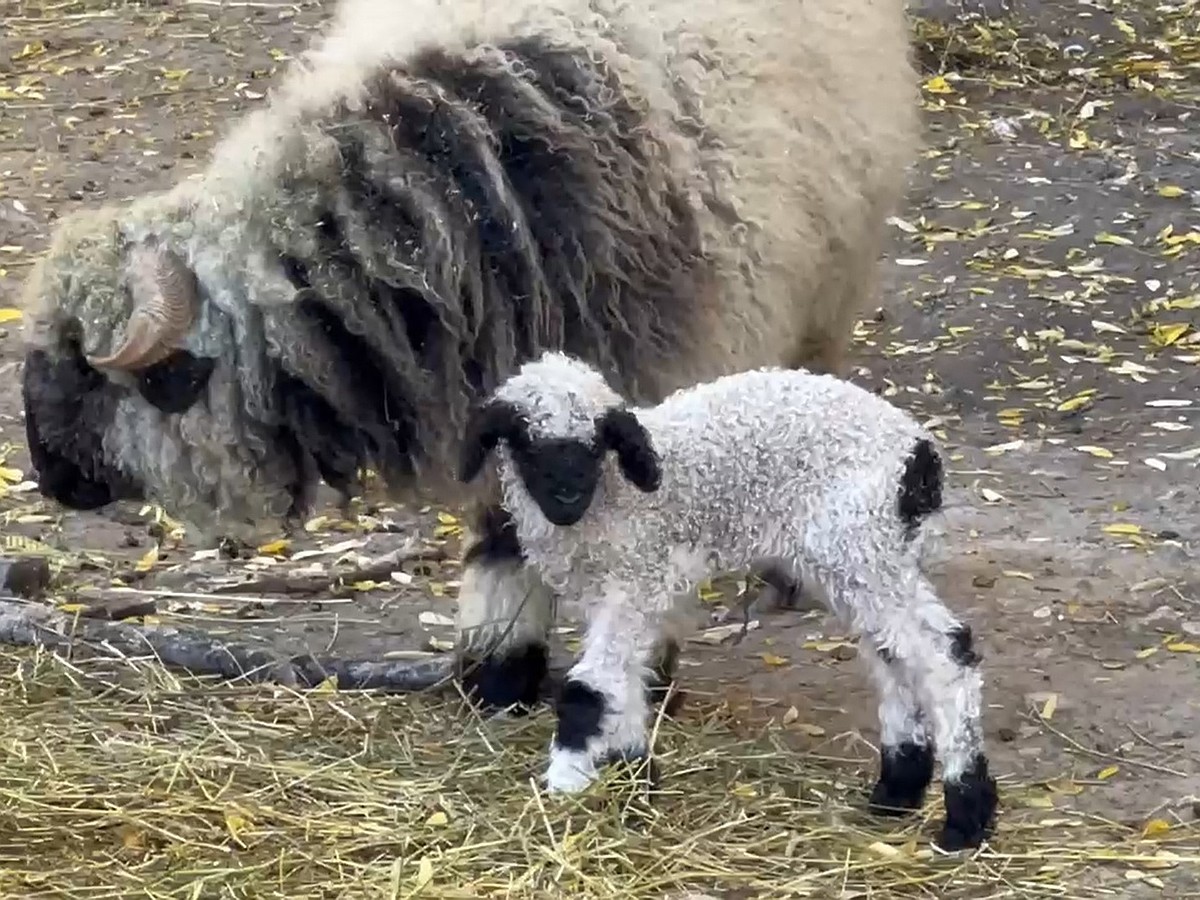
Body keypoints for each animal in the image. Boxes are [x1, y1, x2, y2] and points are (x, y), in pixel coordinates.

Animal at [458, 350, 1003, 854]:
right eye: (523, 441)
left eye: (598, 443)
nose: (567, 497)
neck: (611, 501)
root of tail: (920, 455)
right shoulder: (630, 593)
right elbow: (626, 683)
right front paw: (634, 780)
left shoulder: (632, 580)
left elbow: (589, 688)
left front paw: (565, 785)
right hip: (863, 560)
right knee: (893, 654)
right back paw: (897, 792)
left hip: (860, 546)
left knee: (944, 653)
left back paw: (964, 816)